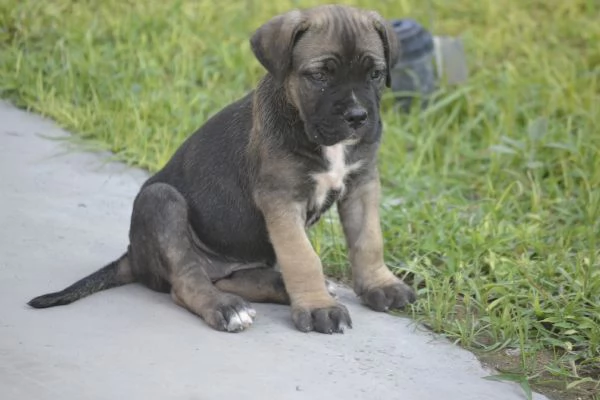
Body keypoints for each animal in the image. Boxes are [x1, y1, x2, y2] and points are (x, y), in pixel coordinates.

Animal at [28, 4, 418, 334]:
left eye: (376, 74)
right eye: (320, 75)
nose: (357, 117)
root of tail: (133, 257)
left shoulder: (362, 184)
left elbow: (369, 239)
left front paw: (381, 285)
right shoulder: (281, 199)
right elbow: (302, 257)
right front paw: (319, 307)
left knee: (234, 278)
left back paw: (278, 288)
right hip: (161, 201)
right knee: (187, 281)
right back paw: (227, 307)